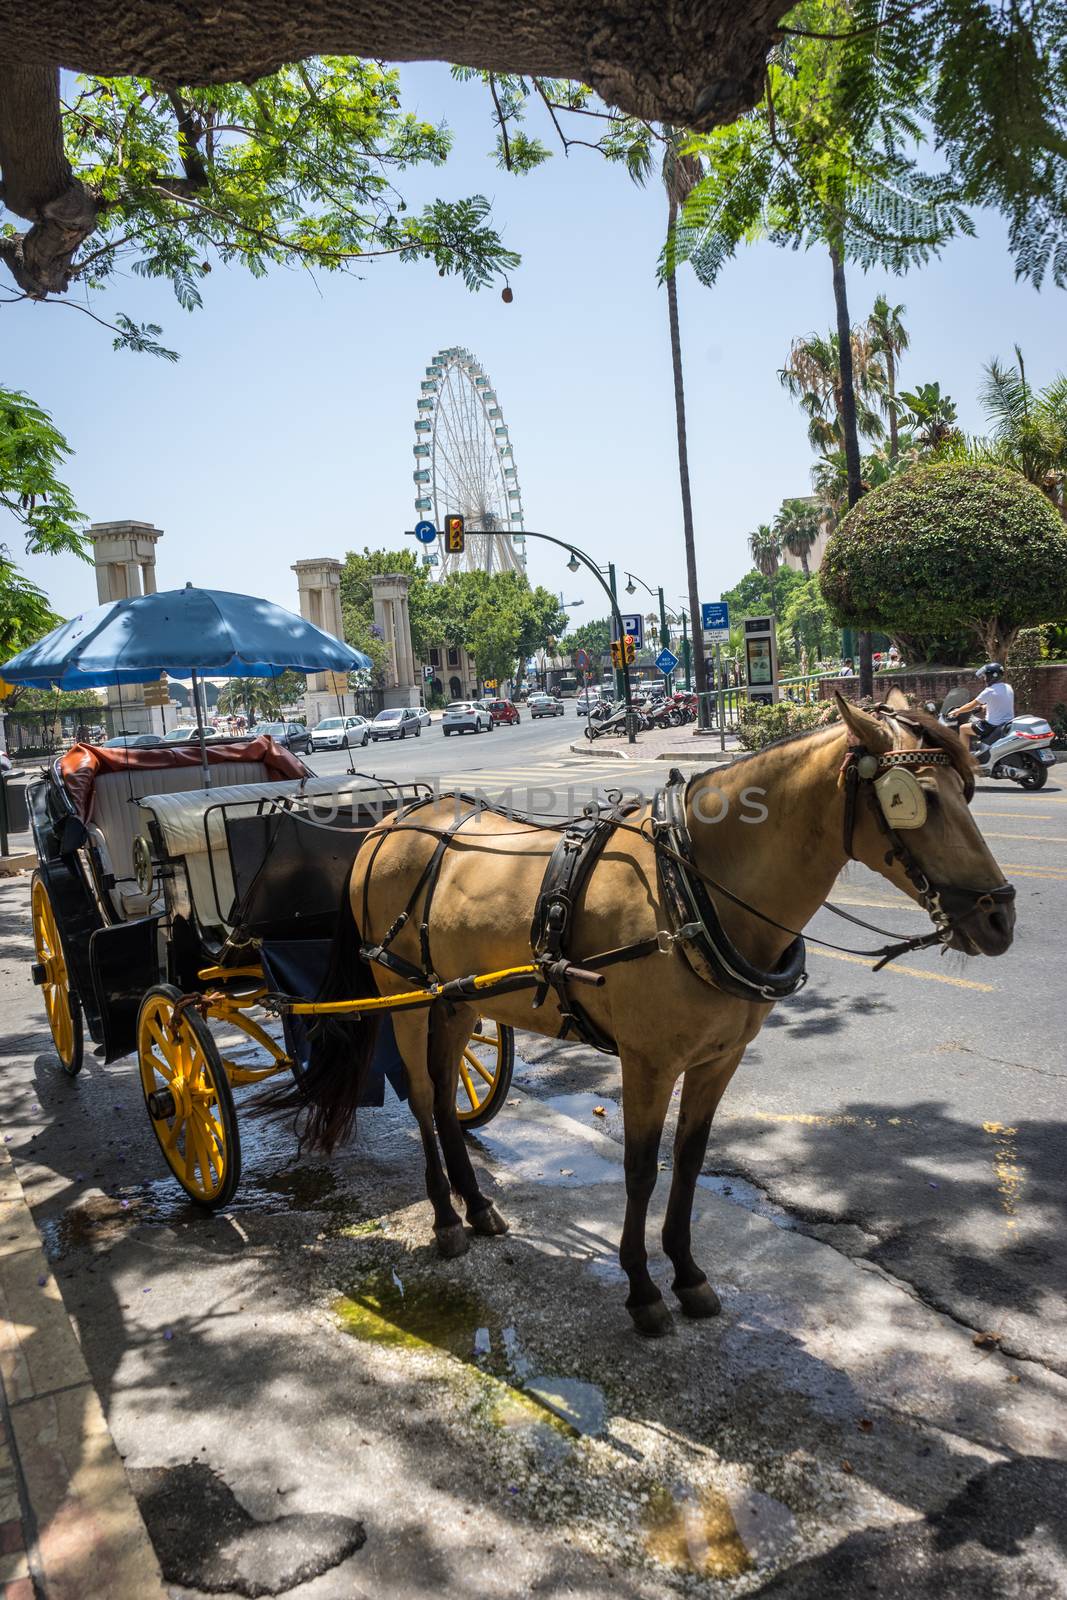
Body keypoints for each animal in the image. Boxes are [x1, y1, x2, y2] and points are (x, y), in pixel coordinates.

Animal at [286, 697, 1017, 1337]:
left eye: (968, 789)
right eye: (911, 798)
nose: (999, 918)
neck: (691, 892)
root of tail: (388, 825)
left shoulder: (718, 1059)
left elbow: (688, 1162)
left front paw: (688, 1273)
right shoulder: (648, 1062)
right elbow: (640, 1169)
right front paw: (641, 1288)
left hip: (457, 999)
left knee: (443, 1097)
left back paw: (479, 1206)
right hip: (403, 996)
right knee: (419, 1097)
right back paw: (444, 1219)